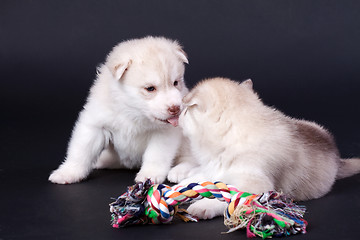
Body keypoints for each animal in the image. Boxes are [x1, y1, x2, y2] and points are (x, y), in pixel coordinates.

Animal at [49, 36, 190, 185]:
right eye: (150, 88)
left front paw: (150, 174)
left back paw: (179, 171)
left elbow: (156, 155)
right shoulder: (95, 124)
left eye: (175, 83)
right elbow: (81, 151)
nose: (176, 108)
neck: (132, 111)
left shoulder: (163, 134)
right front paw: (68, 172)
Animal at [169, 77, 360, 219]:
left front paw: (205, 205)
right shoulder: (216, 167)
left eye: (185, 111)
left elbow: (232, 198)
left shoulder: (257, 186)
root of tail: (336, 156)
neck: (233, 134)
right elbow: (203, 178)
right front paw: (181, 187)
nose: (178, 117)